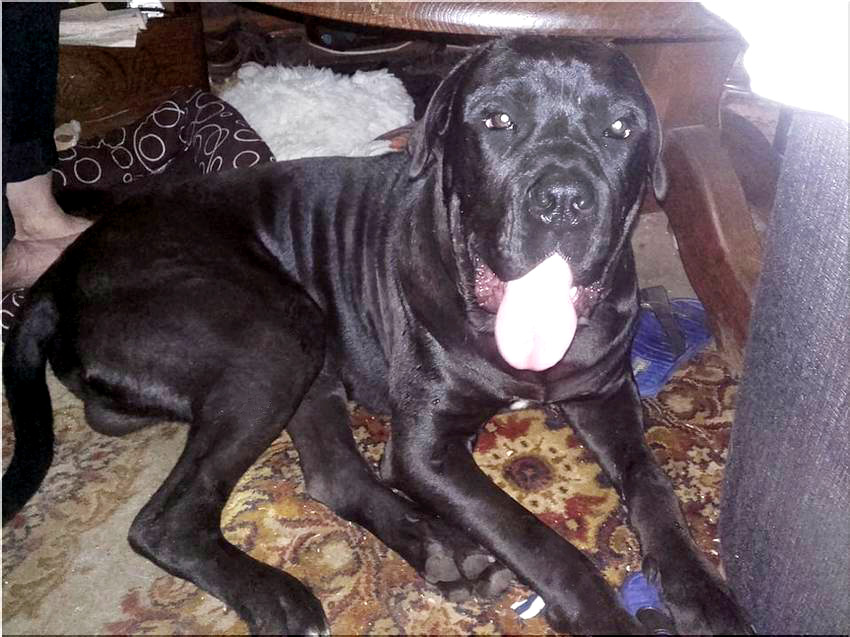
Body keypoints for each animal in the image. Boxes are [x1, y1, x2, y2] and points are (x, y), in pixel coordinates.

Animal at [2, 37, 751, 634]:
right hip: (275, 330)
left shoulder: (604, 395)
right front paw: (602, 613)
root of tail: (60, 271)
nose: (564, 199)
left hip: (303, 354)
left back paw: (450, 552)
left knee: (334, 475)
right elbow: (537, 537)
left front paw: (702, 593)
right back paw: (281, 596)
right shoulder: (426, 449)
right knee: (166, 520)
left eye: (621, 126)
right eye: (497, 120)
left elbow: (652, 482)